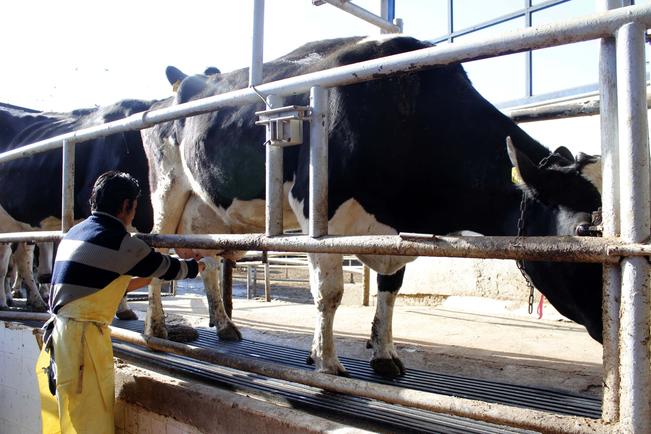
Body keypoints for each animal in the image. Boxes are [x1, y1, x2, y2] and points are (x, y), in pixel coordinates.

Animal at [141, 36, 600, 376]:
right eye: (583, 229)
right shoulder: (316, 208)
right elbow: (329, 293)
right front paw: (326, 362)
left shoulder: (397, 234)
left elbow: (390, 291)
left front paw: (383, 354)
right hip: (166, 189)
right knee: (158, 247)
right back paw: (157, 326)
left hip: (206, 207)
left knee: (207, 260)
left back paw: (224, 325)